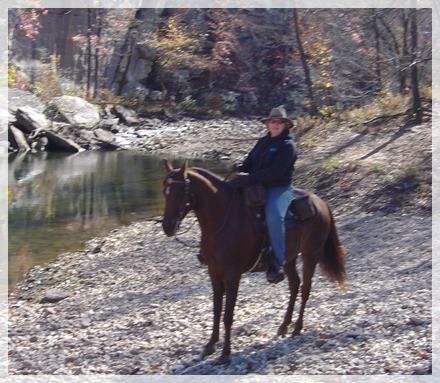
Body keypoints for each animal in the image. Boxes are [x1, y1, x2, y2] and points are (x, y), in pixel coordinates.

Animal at [162, 160, 348, 366]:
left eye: (180, 192)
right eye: (164, 192)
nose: (167, 226)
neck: (223, 218)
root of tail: (321, 202)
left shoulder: (232, 275)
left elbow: (228, 315)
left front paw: (225, 353)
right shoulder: (214, 272)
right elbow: (217, 310)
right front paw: (210, 345)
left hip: (310, 254)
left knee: (305, 288)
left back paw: (297, 327)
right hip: (289, 258)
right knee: (294, 285)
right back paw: (284, 326)